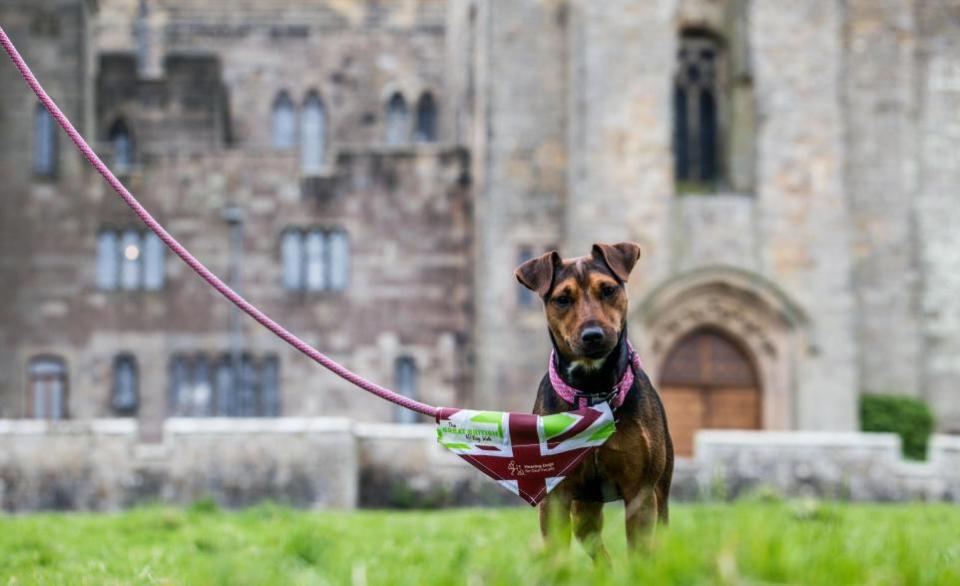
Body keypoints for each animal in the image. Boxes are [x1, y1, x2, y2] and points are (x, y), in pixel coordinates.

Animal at [516, 241, 676, 556]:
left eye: (609, 289)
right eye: (562, 299)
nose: (593, 335)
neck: (592, 392)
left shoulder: (641, 492)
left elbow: (641, 551)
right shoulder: (555, 498)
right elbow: (556, 553)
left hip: (660, 493)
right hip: (584, 507)